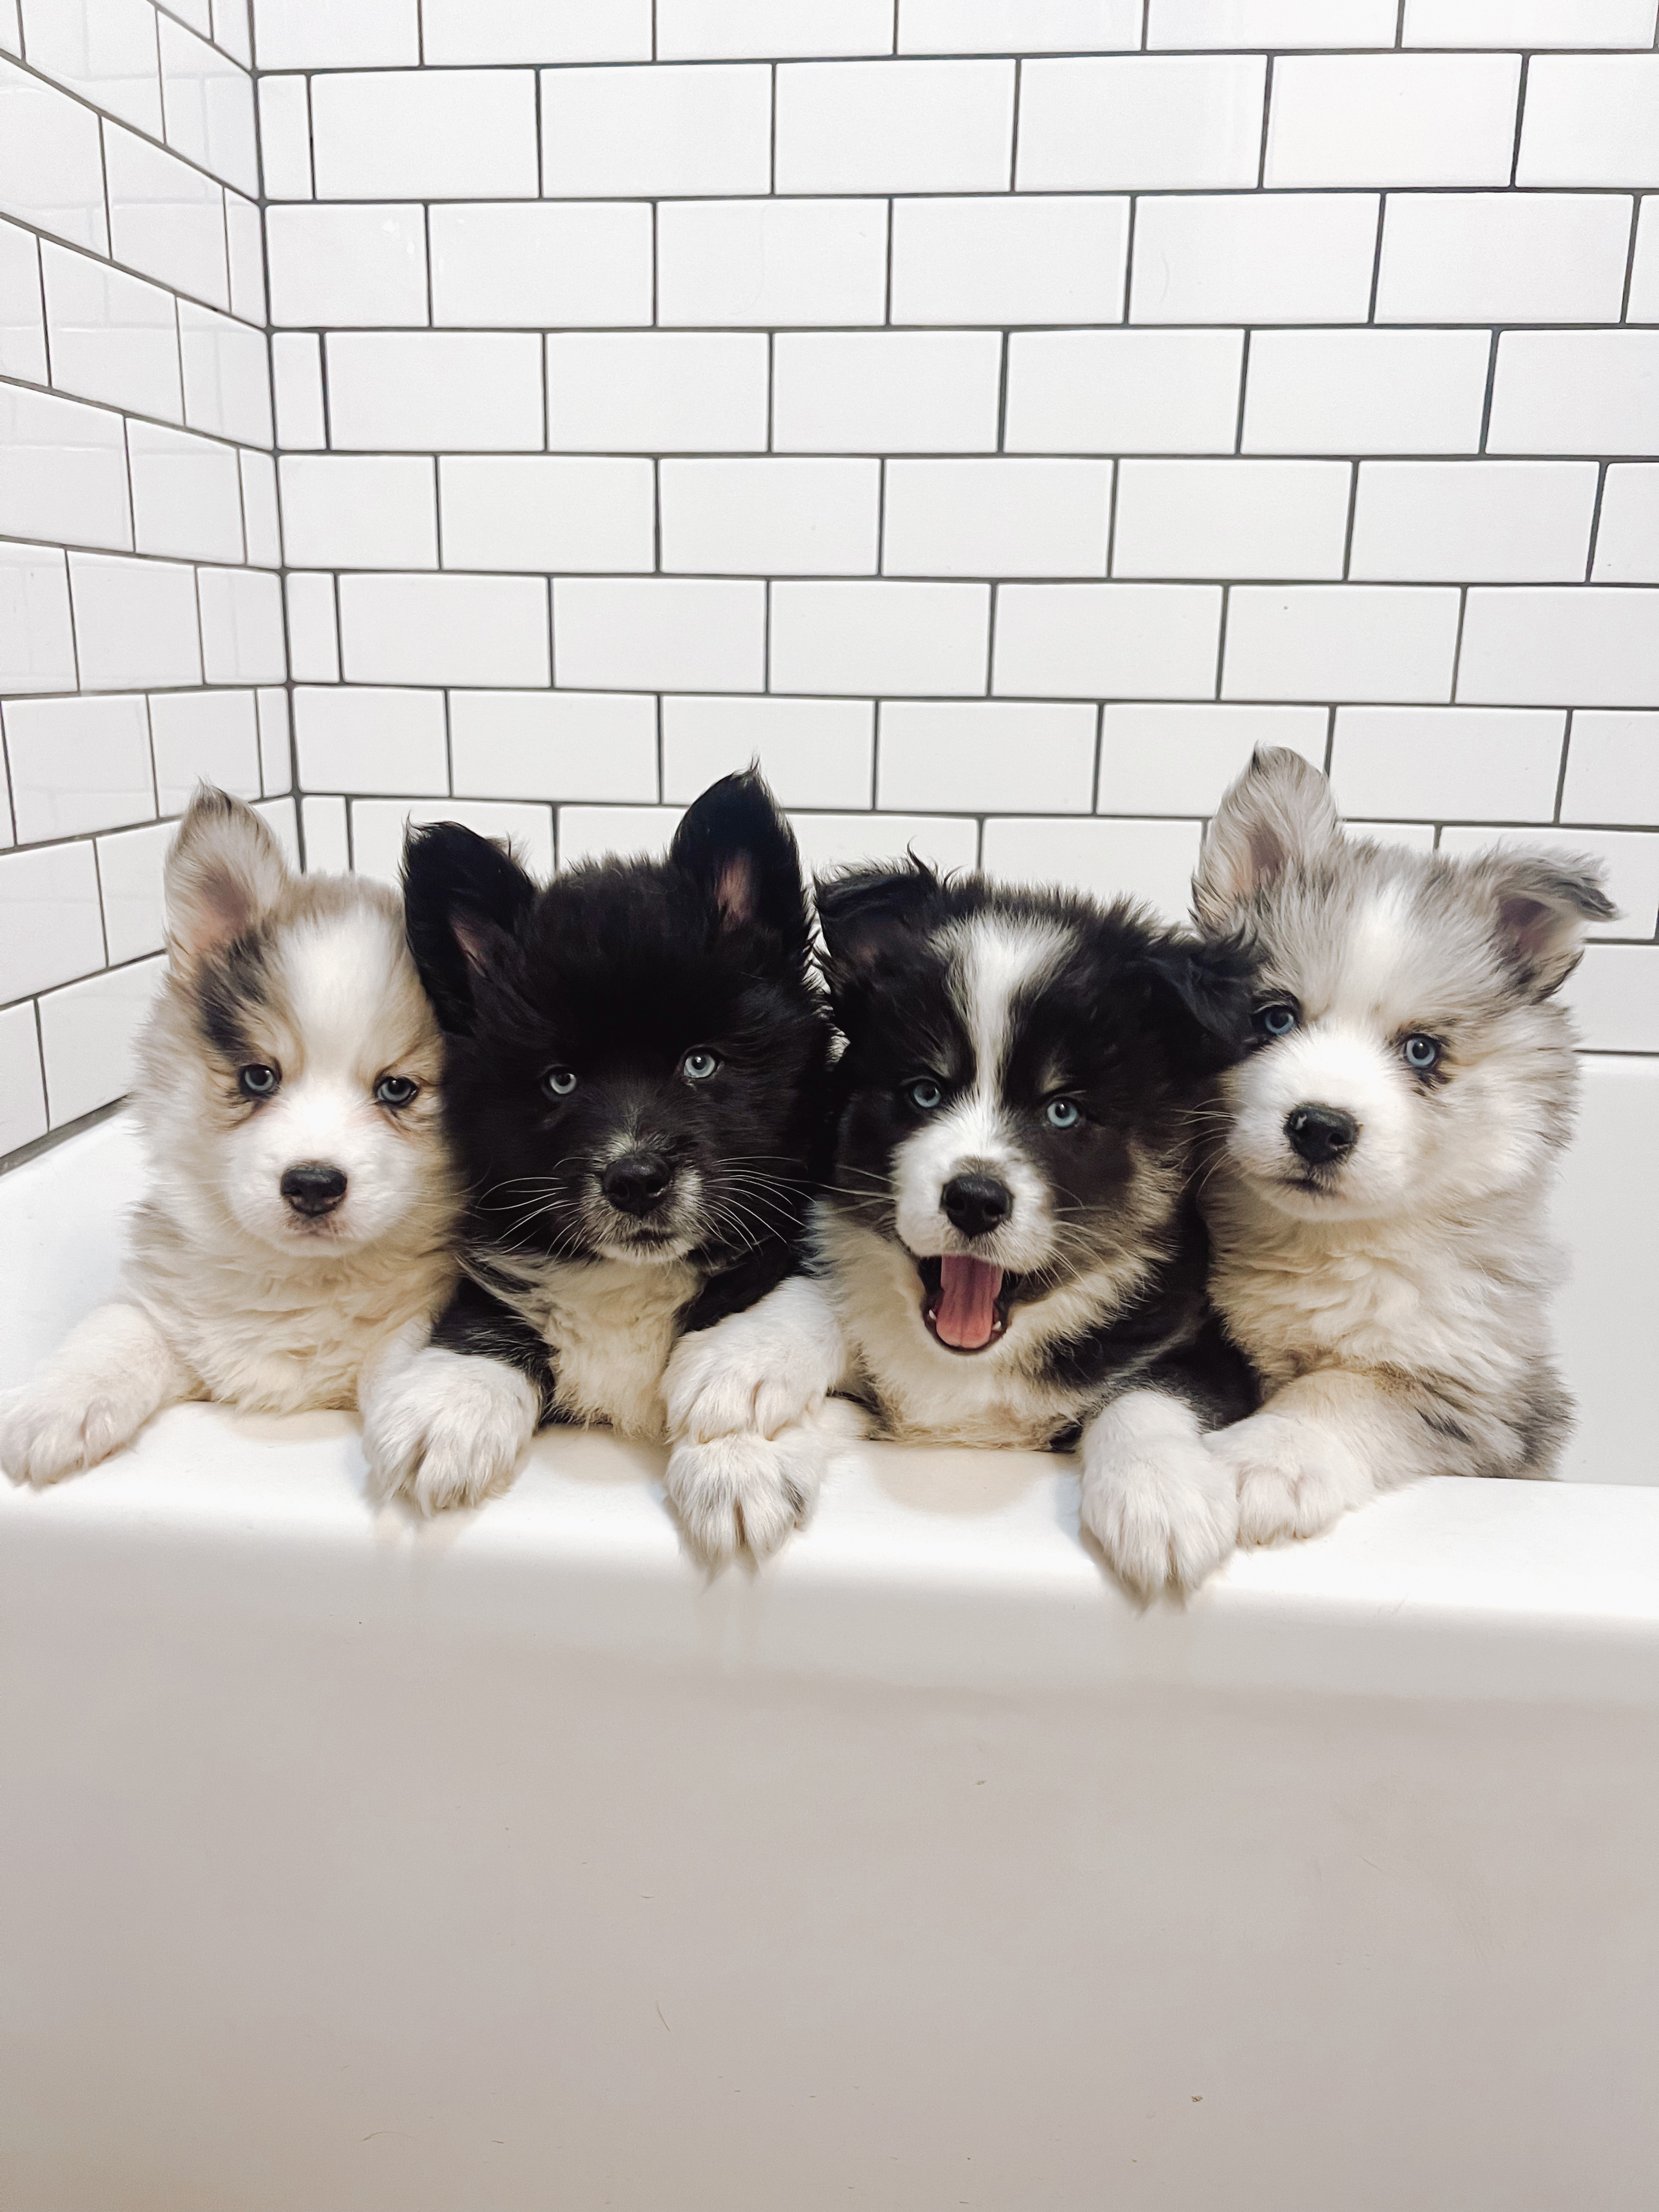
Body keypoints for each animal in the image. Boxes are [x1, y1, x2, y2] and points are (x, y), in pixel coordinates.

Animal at [0, 788, 458, 1486]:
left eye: (397, 1089)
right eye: (258, 1076)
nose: (313, 1186)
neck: (300, 1283)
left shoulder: (419, 1314)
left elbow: (403, 1356)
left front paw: (443, 1418)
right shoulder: (167, 1306)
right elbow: (119, 1328)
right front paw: (56, 1404)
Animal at [360, 770, 834, 1550]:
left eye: (700, 1062)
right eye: (561, 1081)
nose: (635, 1180)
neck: (630, 1280)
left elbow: (783, 1293)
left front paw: (737, 1442)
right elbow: (486, 1311)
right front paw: (452, 1401)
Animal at [680, 861, 1260, 1593]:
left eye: (1064, 1110)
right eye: (924, 1092)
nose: (976, 1200)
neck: (968, 1369)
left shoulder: (1209, 1344)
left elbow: (1151, 1391)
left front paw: (1162, 1499)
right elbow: (828, 1300)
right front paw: (739, 1407)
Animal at [1191, 746, 1615, 1548]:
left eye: (1422, 1050)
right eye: (1273, 1018)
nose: (1320, 1128)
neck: (1322, 1251)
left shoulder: (1466, 1389)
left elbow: (1341, 1388)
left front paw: (1261, 1462)